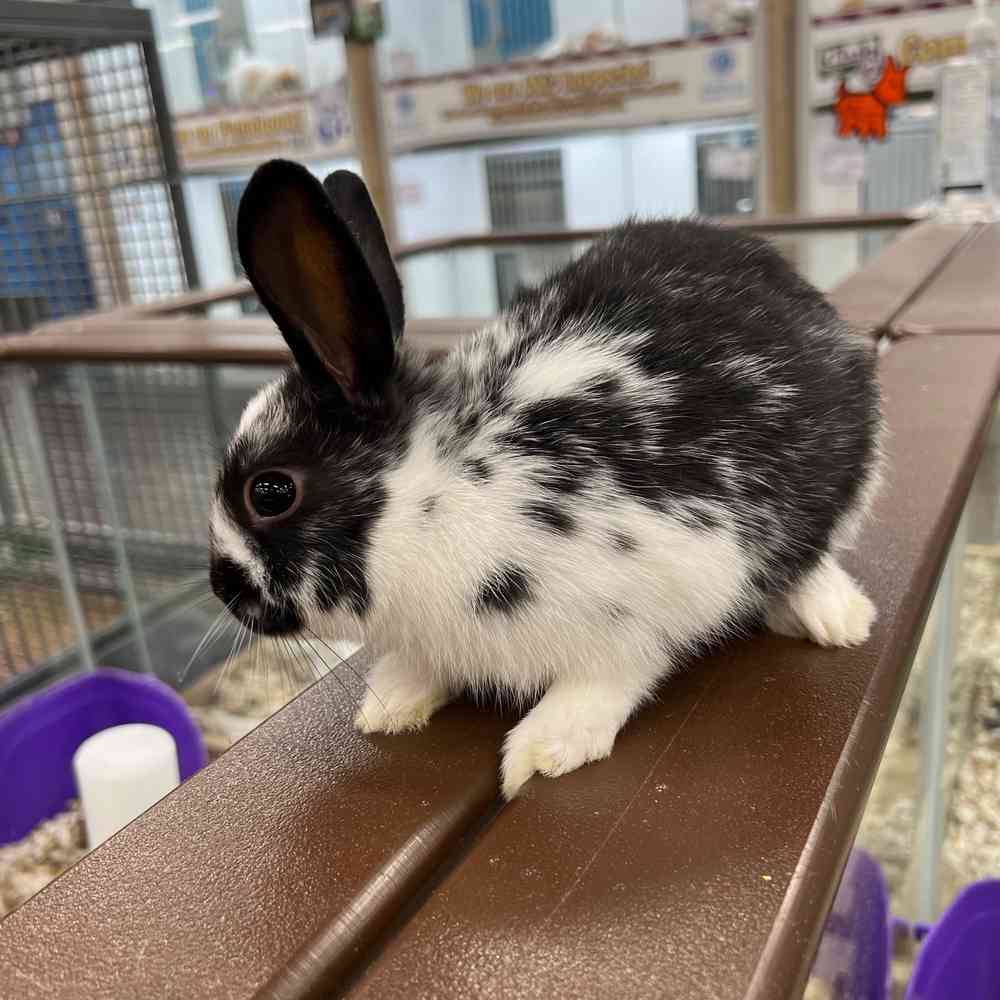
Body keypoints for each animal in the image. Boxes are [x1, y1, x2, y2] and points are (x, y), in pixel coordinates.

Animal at [209, 159, 883, 799]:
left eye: (270, 492)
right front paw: (391, 703)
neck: (432, 496)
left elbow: (612, 675)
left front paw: (545, 748)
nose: (223, 590)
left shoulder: (666, 585)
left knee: (814, 555)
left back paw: (837, 619)